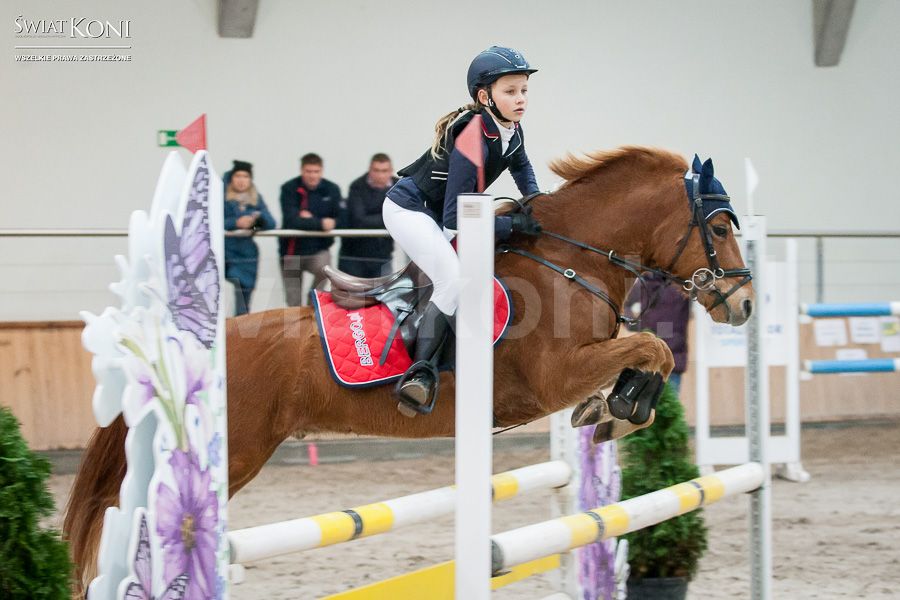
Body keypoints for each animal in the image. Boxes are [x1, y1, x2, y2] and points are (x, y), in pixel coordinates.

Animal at [63, 146, 754, 596]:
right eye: (720, 226)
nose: (744, 304)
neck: (569, 262)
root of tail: (190, 348)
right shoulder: (556, 377)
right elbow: (653, 347)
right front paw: (620, 409)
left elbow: (651, 351)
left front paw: (613, 411)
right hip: (232, 455)